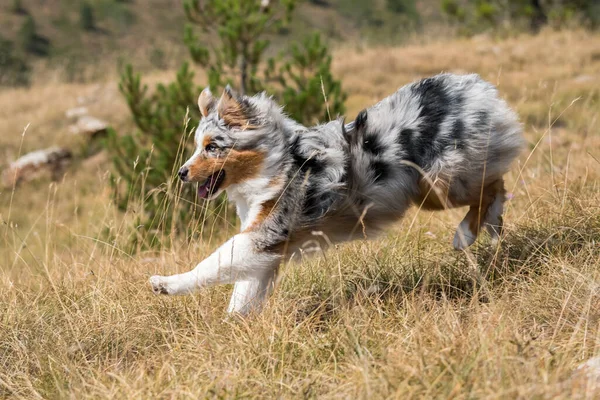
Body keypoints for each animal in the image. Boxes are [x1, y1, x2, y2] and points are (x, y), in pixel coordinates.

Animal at [150, 73, 524, 314]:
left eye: (212, 147)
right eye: (197, 146)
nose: (182, 173)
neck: (274, 162)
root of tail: (474, 86)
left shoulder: (264, 233)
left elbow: (213, 261)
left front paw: (167, 283)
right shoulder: (268, 247)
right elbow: (244, 292)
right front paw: (236, 326)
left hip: (440, 181)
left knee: (491, 187)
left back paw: (466, 234)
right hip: (432, 189)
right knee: (496, 187)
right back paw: (492, 227)